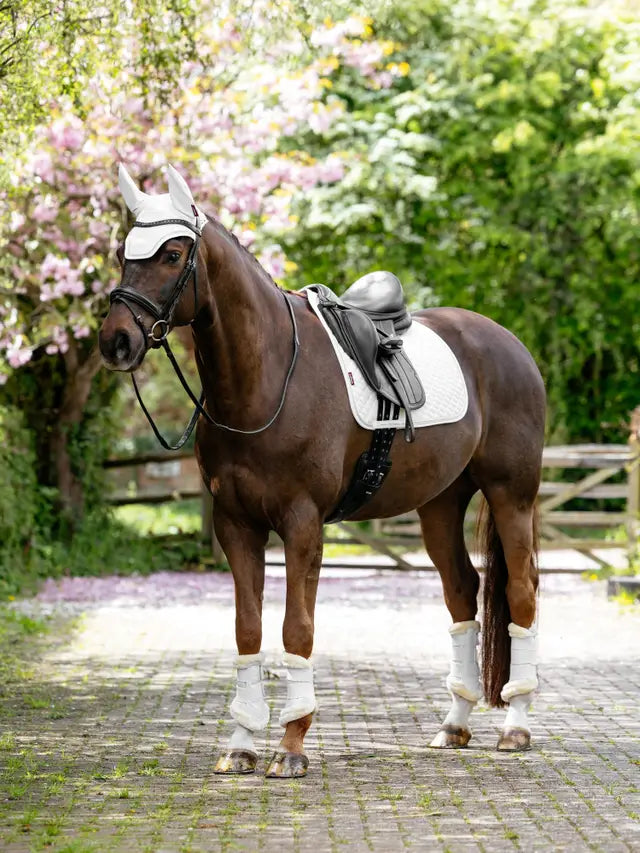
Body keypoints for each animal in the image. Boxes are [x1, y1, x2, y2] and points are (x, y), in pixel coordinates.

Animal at [99, 164, 546, 778]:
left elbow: (296, 629)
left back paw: (516, 726)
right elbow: (248, 629)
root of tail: (508, 344)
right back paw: (454, 724)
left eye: (171, 254)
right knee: (462, 592)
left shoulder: (302, 523)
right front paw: (241, 744)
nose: (116, 341)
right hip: (440, 503)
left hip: (510, 494)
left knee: (522, 592)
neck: (266, 381)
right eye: (125, 254)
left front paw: (291, 746)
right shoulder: (236, 525)